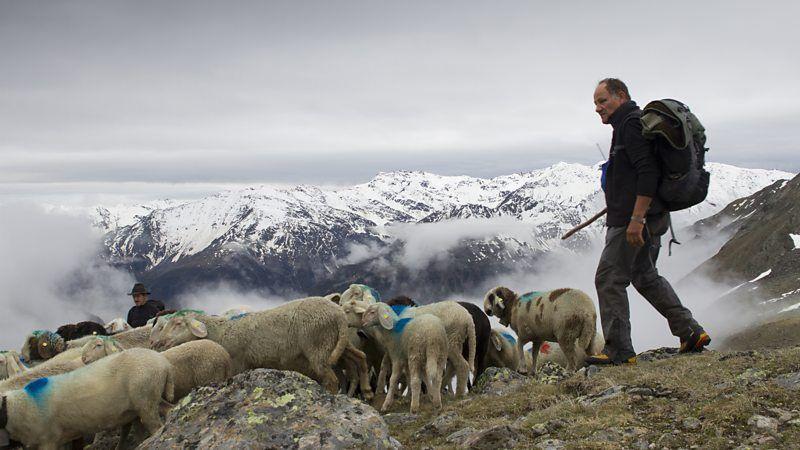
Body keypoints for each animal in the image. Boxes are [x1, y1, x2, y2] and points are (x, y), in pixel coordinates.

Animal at [0, 348, 174, 450]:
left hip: (145, 399)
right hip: (146, 401)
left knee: (156, 426)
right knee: (166, 411)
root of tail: (164, 363)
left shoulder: (48, 440)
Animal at [151, 298, 376, 398]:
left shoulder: (237, 365)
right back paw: (367, 391)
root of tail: (338, 314)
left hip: (318, 347)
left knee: (332, 379)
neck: (221, 333)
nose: (157, 344)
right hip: (337, 343)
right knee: (361, 357)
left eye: (177, 324)